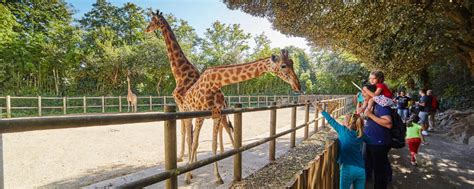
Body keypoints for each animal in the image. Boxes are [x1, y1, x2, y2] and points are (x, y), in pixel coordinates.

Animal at [144, 9, 233, 162]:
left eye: (152, 20)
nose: (146, 29)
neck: (180, 74)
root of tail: (224, 99)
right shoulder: (186, 108)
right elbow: (189, 134)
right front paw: (191, 159)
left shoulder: (181, 105)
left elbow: (185, 133)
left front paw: (182, 158)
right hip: (219, 115)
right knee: (224, 130)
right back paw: (222, 152)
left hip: (219, 115)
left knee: (227, 130)